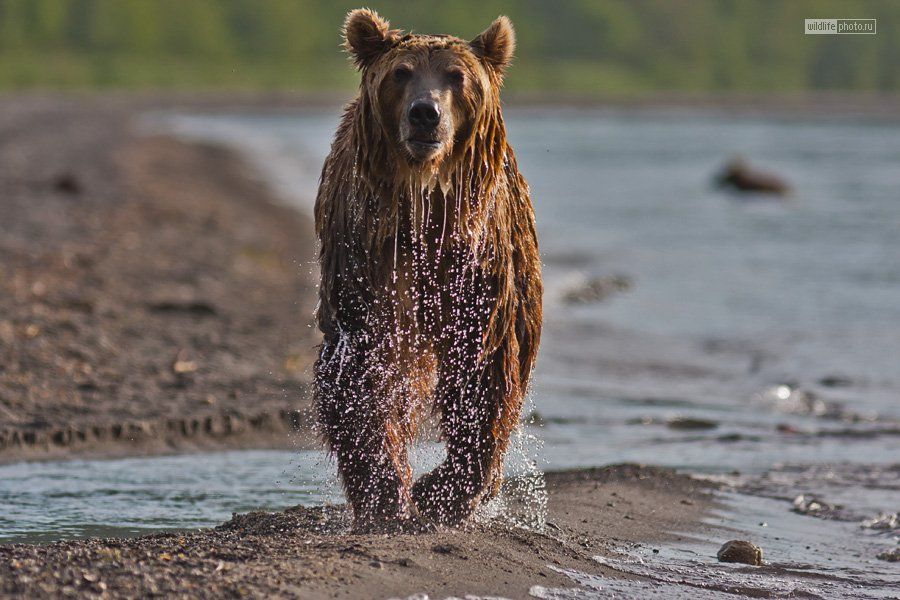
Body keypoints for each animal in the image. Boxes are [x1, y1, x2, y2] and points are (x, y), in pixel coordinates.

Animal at [316, 9, 540, 528]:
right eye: (401, 73)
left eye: (457, 76)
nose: (425, 113)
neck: (423, 201)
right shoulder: (369, 261)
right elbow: (363, 374)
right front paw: (385, 494)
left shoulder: (479, 265)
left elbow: (483, 370)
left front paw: (443, 492)